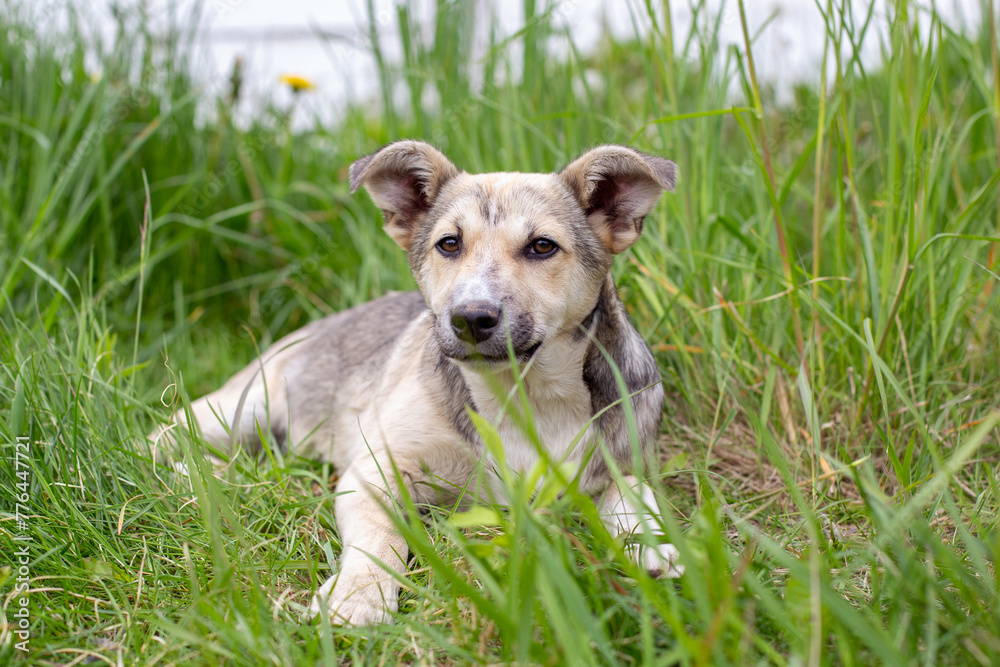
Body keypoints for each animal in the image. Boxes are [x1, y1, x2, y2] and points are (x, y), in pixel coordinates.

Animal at [152, 141, 684, 628]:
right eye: (449, 243)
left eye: (542, 246)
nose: (471, 318)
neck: (522, 394)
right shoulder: (375, 471)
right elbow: (379, 540)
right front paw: (359, 594)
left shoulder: (621, 457)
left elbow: (632, 490)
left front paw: (651, 541)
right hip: (237, 411)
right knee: (164, 439)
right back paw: (202, 474)